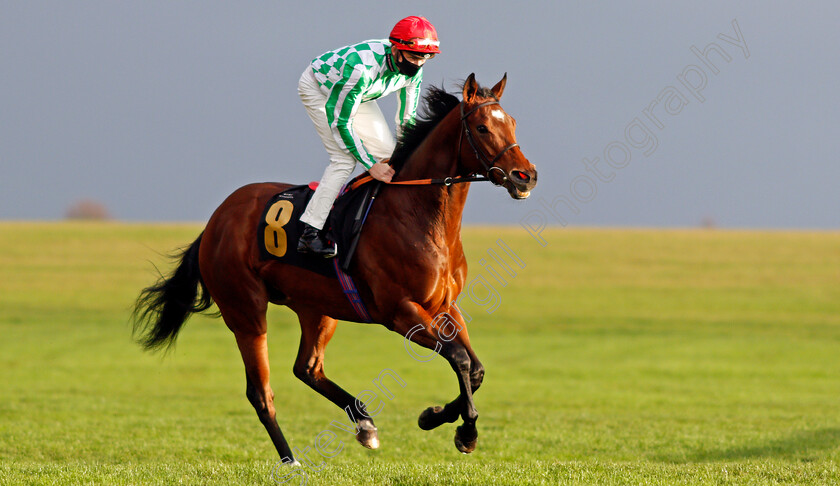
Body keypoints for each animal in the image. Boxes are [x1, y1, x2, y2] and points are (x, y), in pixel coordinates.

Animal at [131, 73, 540, 464]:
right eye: (483, 127)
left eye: (513, 123)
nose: (525, 175)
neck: (418, 216)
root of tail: (216, 221)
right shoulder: (401, 312)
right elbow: (459, 358)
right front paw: (465, 432)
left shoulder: (445, 306)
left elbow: (475, 368)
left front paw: (434, 416)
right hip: (245, 310)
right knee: (261, 392)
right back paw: (290, 460)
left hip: (317, 307)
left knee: (307, 368)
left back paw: (364, 424)